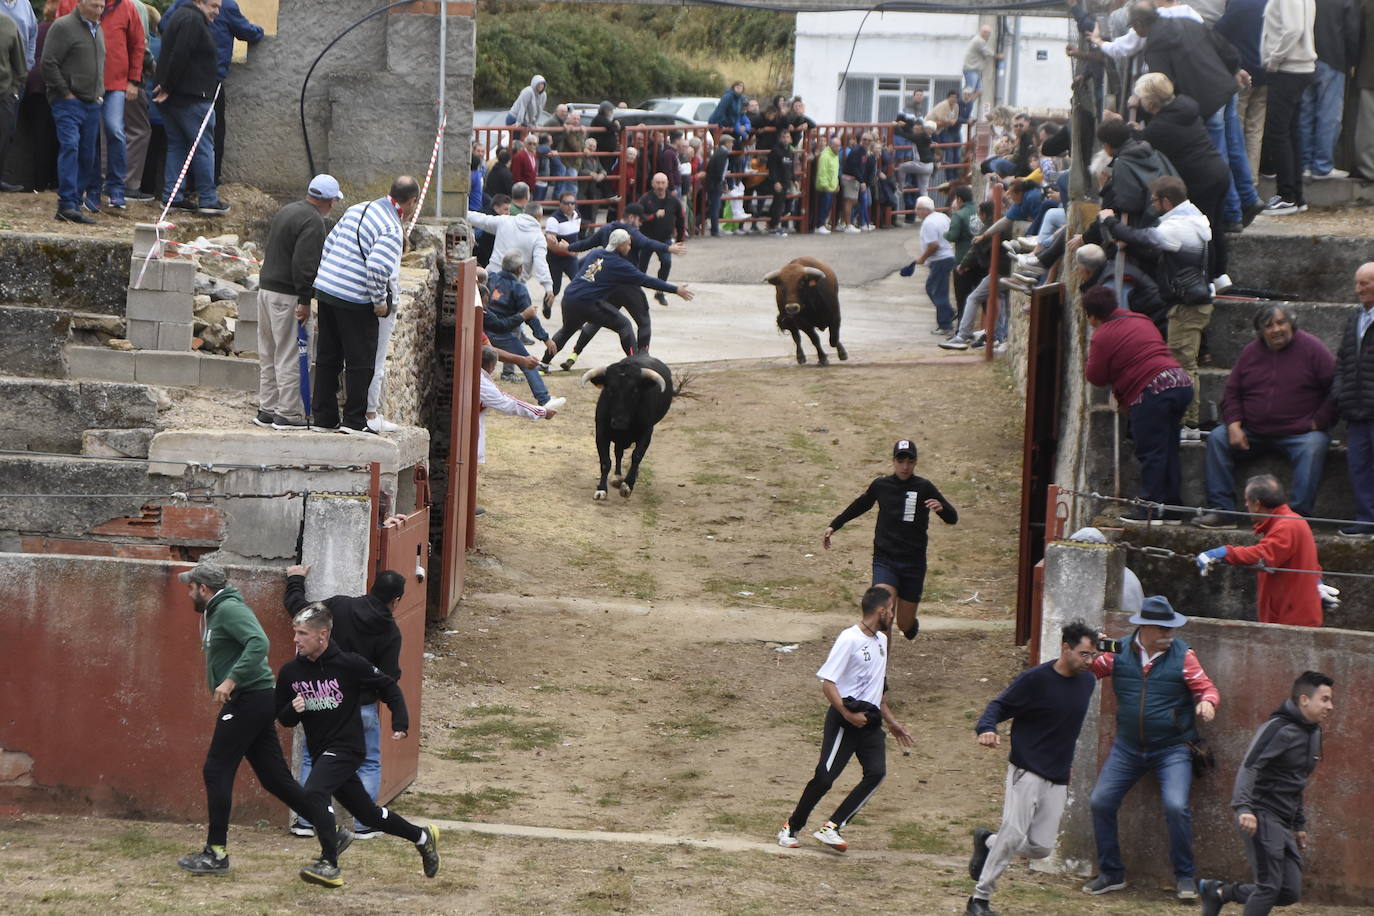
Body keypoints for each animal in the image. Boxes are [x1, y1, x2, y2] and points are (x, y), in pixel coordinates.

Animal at [579, 354, 670, 502]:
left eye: (635, 390)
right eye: (609, 389)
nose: (619, 423)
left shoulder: (646, 432)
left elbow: (636, 456)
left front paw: (627, 486)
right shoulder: (601, 433)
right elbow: (605, 461)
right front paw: (601, 489)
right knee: (618, 453)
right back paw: (617, 477)